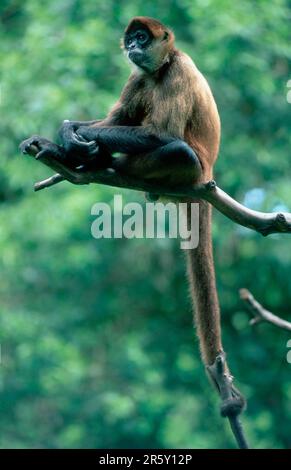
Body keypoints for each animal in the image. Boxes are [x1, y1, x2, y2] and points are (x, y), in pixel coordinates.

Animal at [19, 16, 245, 416]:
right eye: (130, 41)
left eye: (141, 37)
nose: (132, 48)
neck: (161, 68)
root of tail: (206, 179)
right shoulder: (138, 75)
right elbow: (118, 115)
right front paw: (68, 134)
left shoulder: (178, 70)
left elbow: (160, 134)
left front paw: (73, 133)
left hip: (188, 170)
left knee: (176, 149)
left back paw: (93, 160)